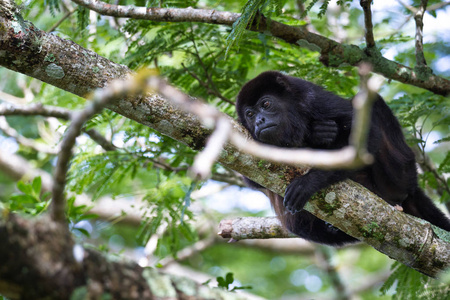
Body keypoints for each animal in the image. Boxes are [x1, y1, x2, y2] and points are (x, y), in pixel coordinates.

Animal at [236, 71, 450, 246]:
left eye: (266, 104)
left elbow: (369, 139)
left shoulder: (311, 97)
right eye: (250, 114)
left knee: (370, 101)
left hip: (402, 172)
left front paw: (308, 183)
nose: (259, 121)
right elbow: (252, 180)